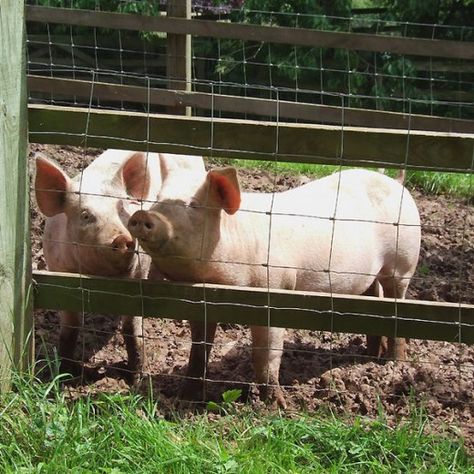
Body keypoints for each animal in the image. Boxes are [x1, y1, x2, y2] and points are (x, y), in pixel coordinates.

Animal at [33, 150, 204, 384]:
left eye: (123, 209)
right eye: (85, 215)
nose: (123, 238)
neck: (98, 277)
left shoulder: (137, 275)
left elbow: (131, 329)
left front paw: (136, 379)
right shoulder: (58, 274)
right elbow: (70, 328)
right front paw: (65, 376)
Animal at [128, 166, 420, 408]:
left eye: (193, 205)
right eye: (156, 200)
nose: (142, 215)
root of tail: (396, 182)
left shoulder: (275, 292)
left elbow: (266, 355)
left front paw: (278, 406)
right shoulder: (200, 305)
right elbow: (199, 351)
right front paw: (185, 398)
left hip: (403, 263)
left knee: (397, 303)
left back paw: (393, 365)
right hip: (367, 277)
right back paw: (371, 356)